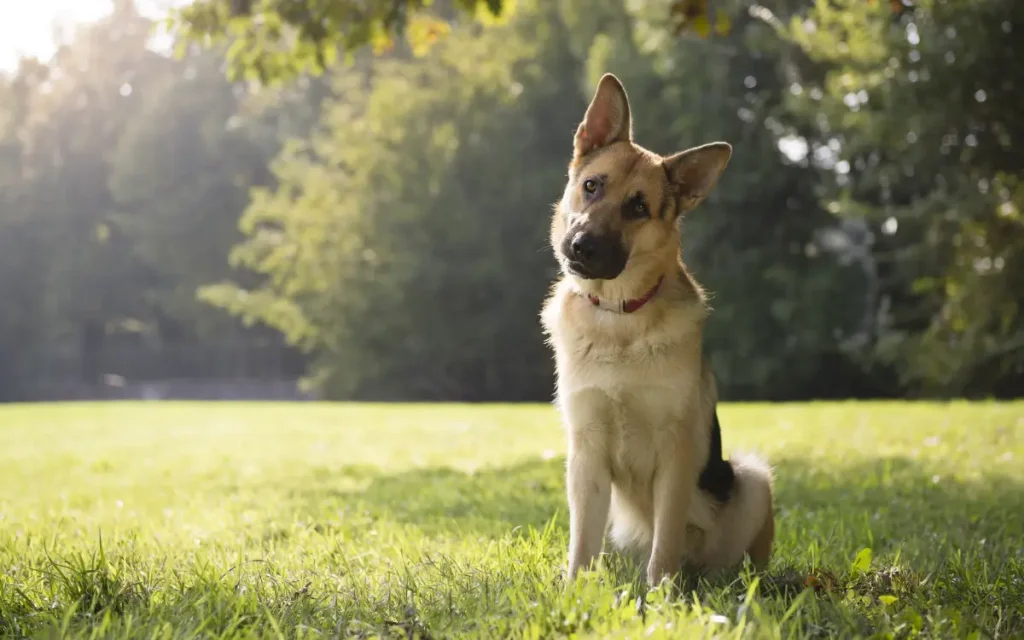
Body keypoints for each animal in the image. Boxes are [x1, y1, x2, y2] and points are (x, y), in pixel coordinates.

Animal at [540, 72, 770, 585]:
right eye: (591, 186)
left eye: (638, 208)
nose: (580, 247)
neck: (618, 316)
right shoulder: (585, 455)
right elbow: (581, 543)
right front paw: (574, 589)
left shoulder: (675, 455)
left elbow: (665, 541)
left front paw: (662, 593)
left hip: (752, 478)